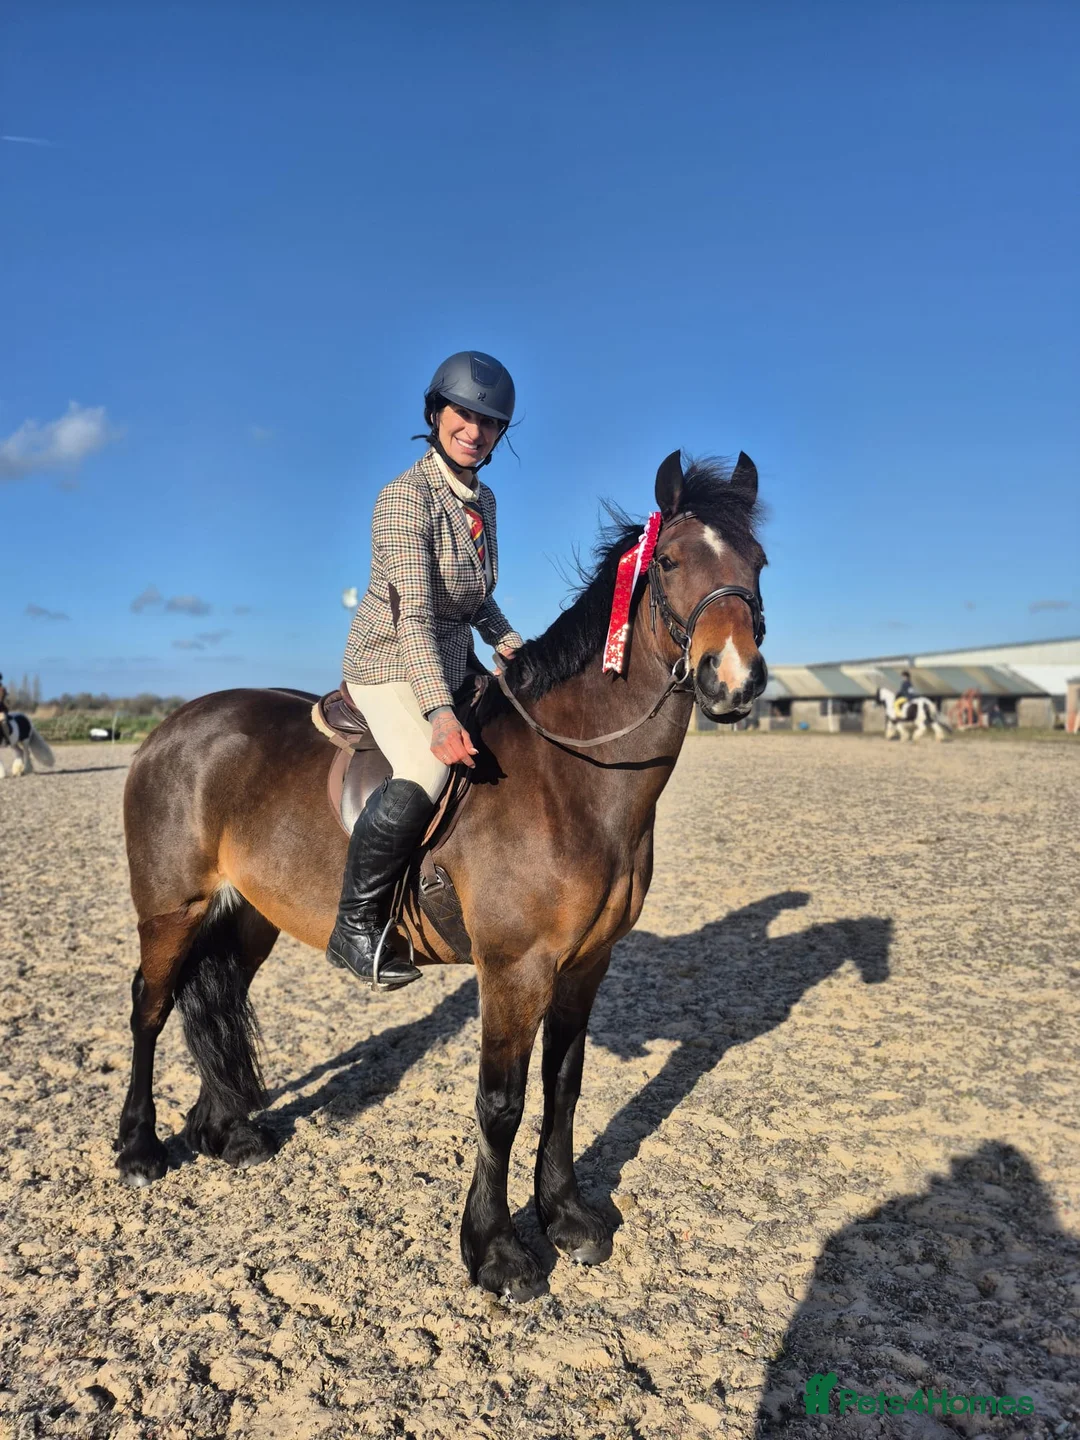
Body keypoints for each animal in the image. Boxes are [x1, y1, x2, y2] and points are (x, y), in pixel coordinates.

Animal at [116, 449, 768, 1301]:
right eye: (669, 562)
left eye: (758, 563)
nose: (735, 678)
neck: (572, 775)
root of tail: (172, 726)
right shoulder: (515, 969)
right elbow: (501, 1102)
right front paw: (496, 1252)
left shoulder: (586, 963)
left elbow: (564, 1086)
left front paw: (567, 1218)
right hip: (171, 908)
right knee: (151, 1008)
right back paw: (139, 1150)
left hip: (248, 914)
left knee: (216, 994)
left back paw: (228, 1134)